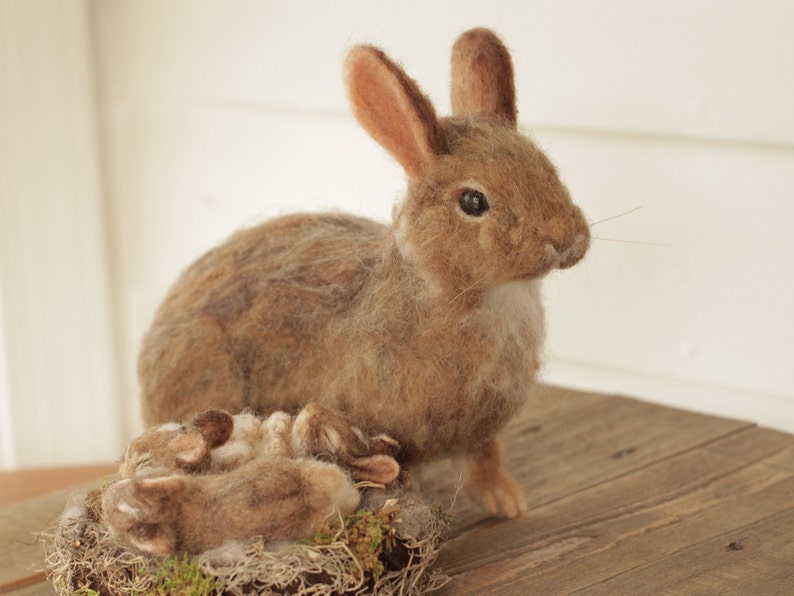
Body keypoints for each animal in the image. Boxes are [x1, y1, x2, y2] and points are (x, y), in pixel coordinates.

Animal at [138, 28, 588, 516]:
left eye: (547, 168)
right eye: (473, 202)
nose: (567, 241)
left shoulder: (480, 436)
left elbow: (484, 460)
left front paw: (508, 502)